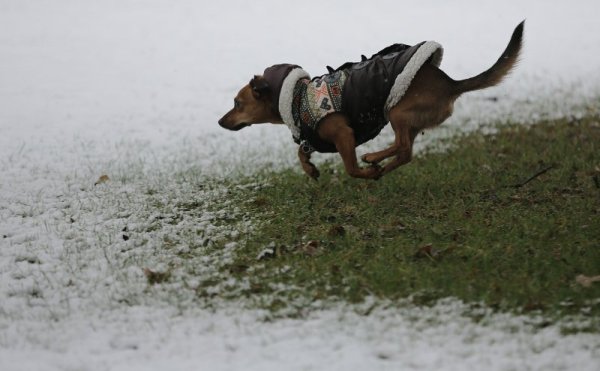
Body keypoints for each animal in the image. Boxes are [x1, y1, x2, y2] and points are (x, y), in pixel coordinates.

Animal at [218, 21, 524, 181]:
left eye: (237, 103)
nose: (220, 122)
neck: (296, 98)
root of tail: (450, 83)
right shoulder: (313, 139)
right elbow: (301, 152)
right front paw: (310, 169)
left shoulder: (343, 134)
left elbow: (352, 169)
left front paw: (366, 171)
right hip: (409, 119)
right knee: (405, 152)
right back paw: (383, 166)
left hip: (397, 111)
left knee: (402, 146)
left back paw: (375, 159)